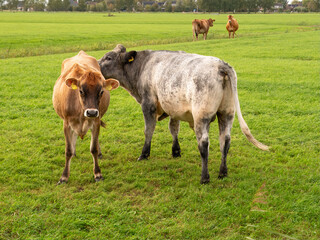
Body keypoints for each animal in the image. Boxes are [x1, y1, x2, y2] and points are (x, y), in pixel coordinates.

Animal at [53, 50, 119, 184]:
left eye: (101, 92)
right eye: (81, 91)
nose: (92, 113)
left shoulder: (96, 122)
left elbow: (93, 148)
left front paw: (97, 174)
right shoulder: (66, 124)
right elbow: (68, 150)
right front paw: (64, 176)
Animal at [98, 44, 268, 184]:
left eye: (108, 57)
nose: (95, 65)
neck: (142, 67)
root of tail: (221, 65)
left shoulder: (148, 104)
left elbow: (148, 130)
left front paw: (144, 154)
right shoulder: (174, 109)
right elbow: (173, 128)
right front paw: (176, 151)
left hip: (201, 116)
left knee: (204, 143)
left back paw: (204, 177)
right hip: (227, 113)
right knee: (225, 141)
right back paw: (222, 172)